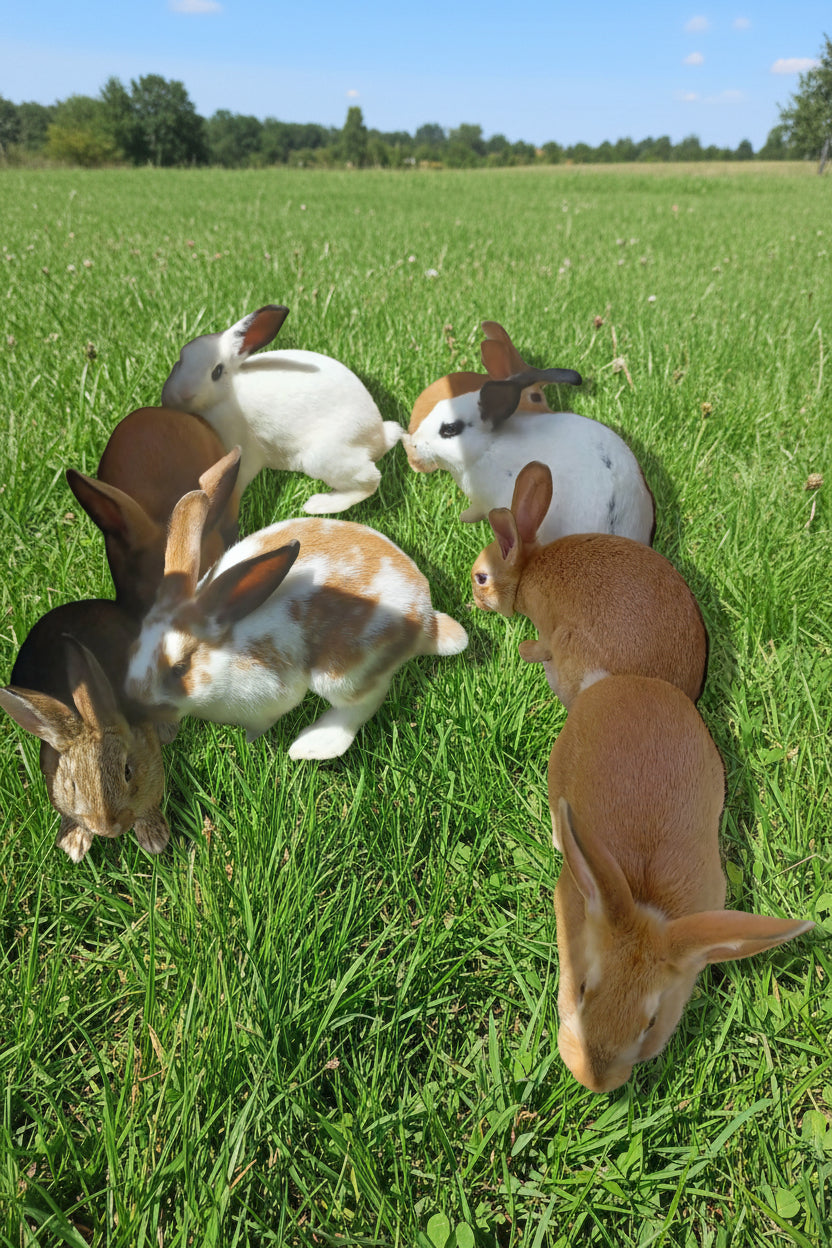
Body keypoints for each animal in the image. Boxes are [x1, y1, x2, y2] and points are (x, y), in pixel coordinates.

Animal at [125, 488, 468, 760]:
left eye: (180, 668)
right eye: (133, 646)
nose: (134, 704)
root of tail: (426, 620)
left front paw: (252, 740)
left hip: (342, 674)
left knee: (363, 703)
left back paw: (313, 746)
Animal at [161, 304, 403, 512]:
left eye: (217, 372)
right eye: (180, 360)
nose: (182, 394)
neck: (226, 394)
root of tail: (380, 436)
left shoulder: (245, 453)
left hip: (323, 457)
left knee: (370, 480)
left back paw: (318, 505)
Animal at [471, 461, 707, 706]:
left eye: (481, 578)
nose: (475, 601)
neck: (525, 571)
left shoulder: (546, 625)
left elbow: (541, 645)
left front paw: (524, 650)